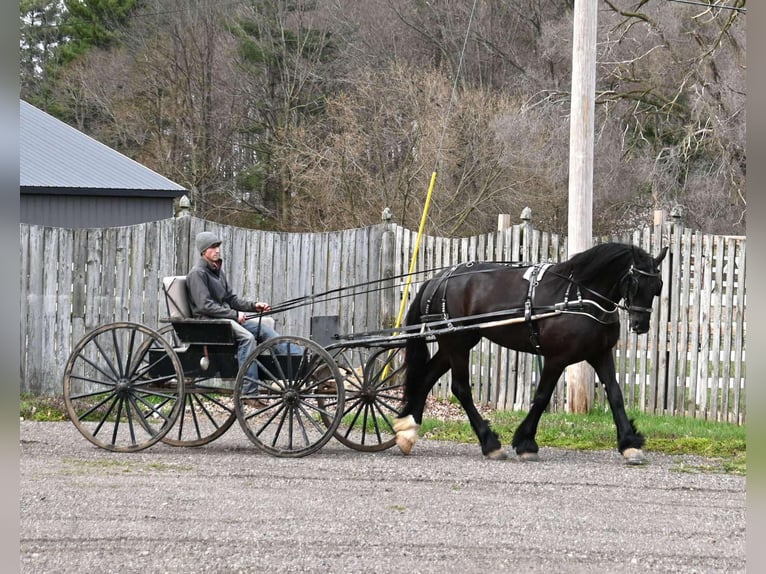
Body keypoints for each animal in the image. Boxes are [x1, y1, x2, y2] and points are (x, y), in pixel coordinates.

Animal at [393, 242, 668, 464]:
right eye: (634, 282)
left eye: (658, 286)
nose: (640, 325)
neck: (579, 296)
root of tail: (437, 279)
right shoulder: (557, 358)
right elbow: (542, 396)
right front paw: (526, 443)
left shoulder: (600, 354)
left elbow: (615, 394)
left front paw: (629, 444)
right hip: (456, 343)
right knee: (460, 388)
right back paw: (489, 443)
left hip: (457, 343)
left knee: (427, 377)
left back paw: (407, 430)